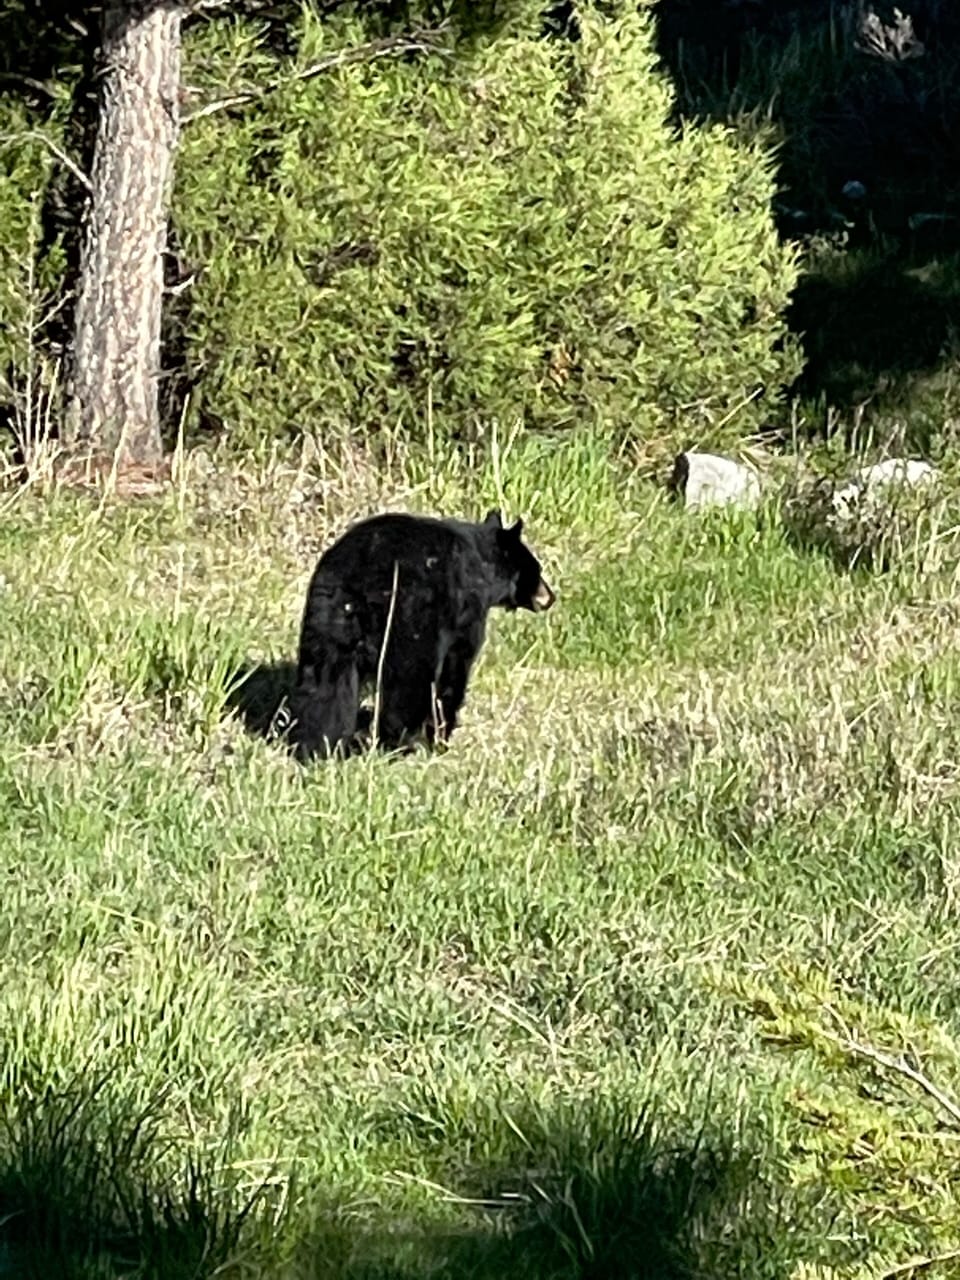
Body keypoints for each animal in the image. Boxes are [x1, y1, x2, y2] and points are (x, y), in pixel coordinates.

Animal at [289, 509, 554, 759]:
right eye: (536, 569)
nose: (551, 597)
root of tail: (360, 585)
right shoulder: (466, 613)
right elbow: (454, 671)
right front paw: (441, 738)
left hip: (326, 623)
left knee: (324, 687)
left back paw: (318, 746)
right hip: (412, 622)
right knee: (407, 688)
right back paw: (396, 743)